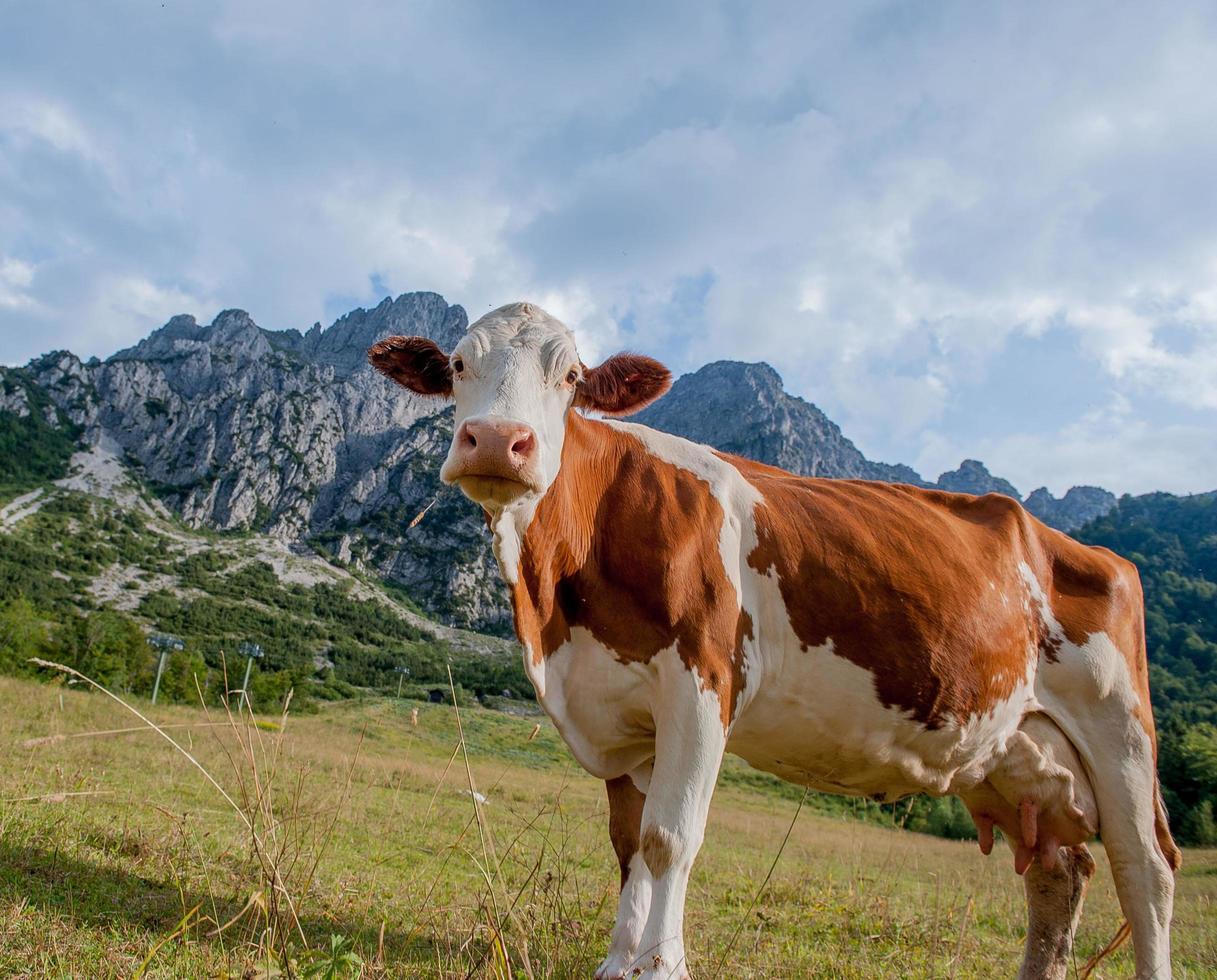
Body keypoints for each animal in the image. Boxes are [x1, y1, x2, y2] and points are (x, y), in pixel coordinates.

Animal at [367, 301, 1178, 973]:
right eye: (458, 365)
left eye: (570, 375)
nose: (498, 441)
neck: (555, 607)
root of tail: (1078, 546)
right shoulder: (619, 705)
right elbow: (630, 844)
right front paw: (617, 963)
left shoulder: (702, 682)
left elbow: (670, 838)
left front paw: (660, 966)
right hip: (1017, 749)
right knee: (1058, 874)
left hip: (1121, 732)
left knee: (1145, 872)